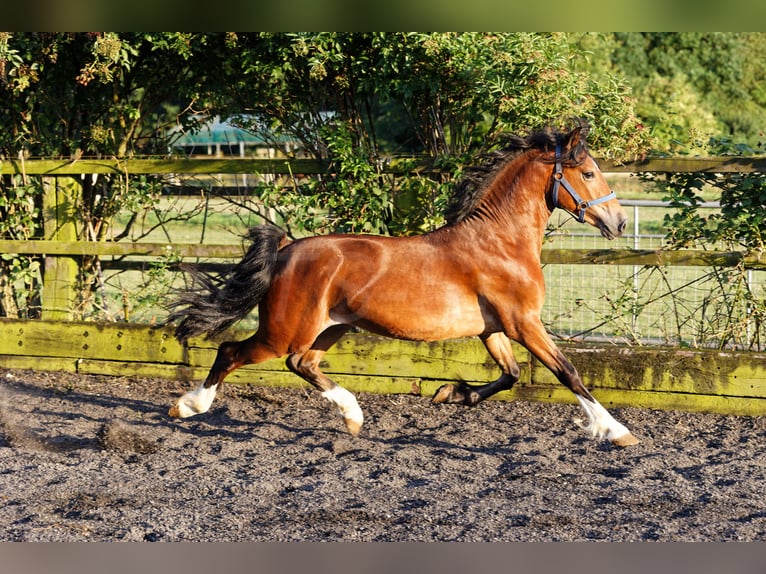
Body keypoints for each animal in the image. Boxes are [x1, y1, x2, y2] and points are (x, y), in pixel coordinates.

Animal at [170, 121, 640, 448]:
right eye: (588, 173)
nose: (618, 222)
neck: (500, 242)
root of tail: (287, 248)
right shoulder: (524, 323)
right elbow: (569, 373)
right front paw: (616, 431)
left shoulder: (494, 330)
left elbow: (510, 374)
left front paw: (450, 394)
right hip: (283, 330)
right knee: (233, 352)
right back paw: (188, 405)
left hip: (331, 326)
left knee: (302, 364)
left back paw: (353, 416)